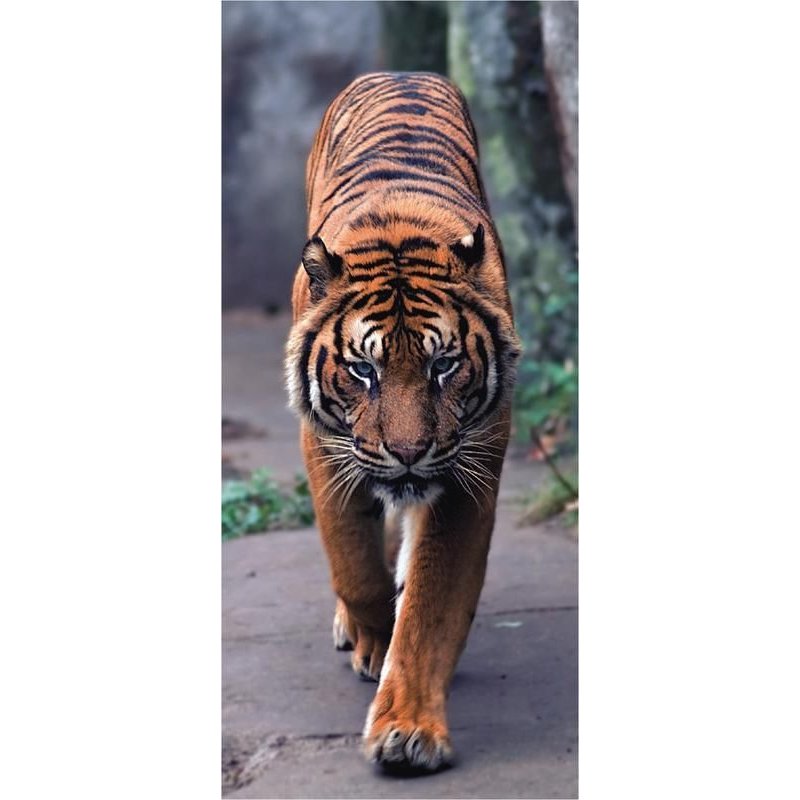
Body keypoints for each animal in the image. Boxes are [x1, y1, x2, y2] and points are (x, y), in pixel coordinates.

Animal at [285, 71, 521, 772]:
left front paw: (409, 730)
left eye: (444, 365)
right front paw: (371, 637)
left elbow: (430, 607)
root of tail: (401, 72)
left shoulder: (469, 470)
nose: (410, 452)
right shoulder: (325, 447)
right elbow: (353, 563)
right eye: (364, 371)